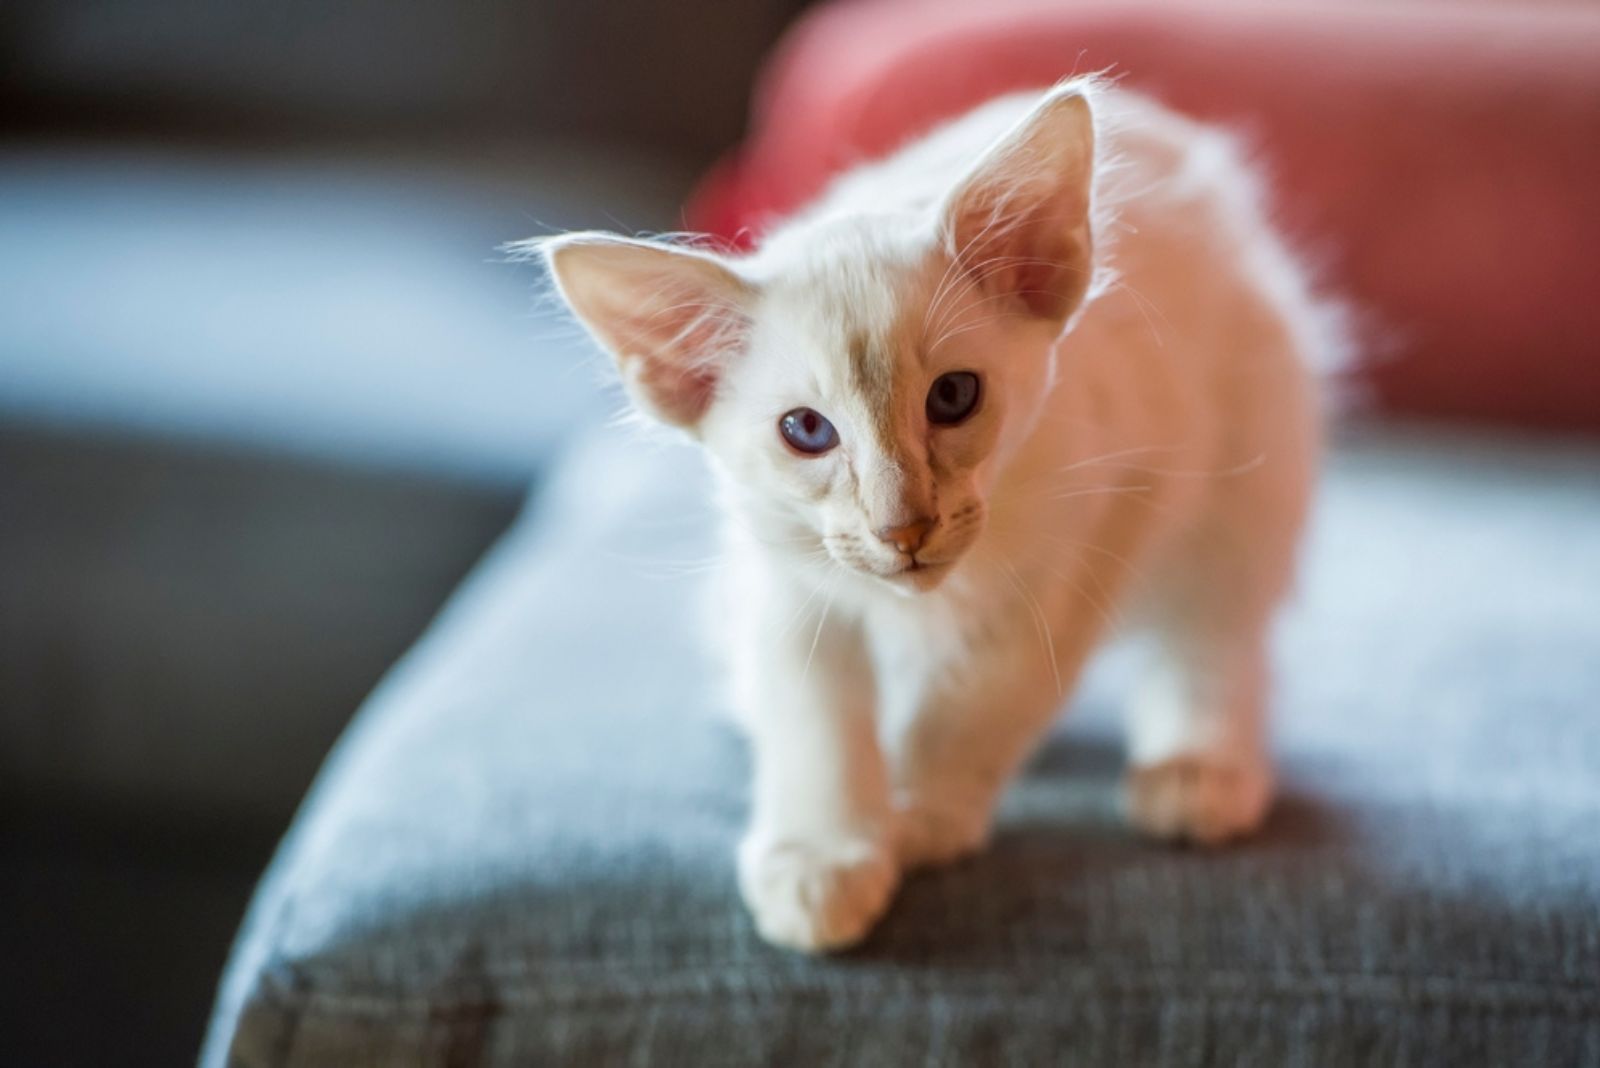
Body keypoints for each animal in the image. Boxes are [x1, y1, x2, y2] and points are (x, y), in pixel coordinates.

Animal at [534, 81, 1337, 952]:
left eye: (953, 396)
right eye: (806, 431)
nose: (904, 528)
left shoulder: (1116, 506)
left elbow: (989, 691)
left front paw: (923, 814)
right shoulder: (787, 582)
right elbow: (813, 715)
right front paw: (823, 854)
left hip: (1251, 458)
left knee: (1217, 625)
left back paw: (1197, 771)